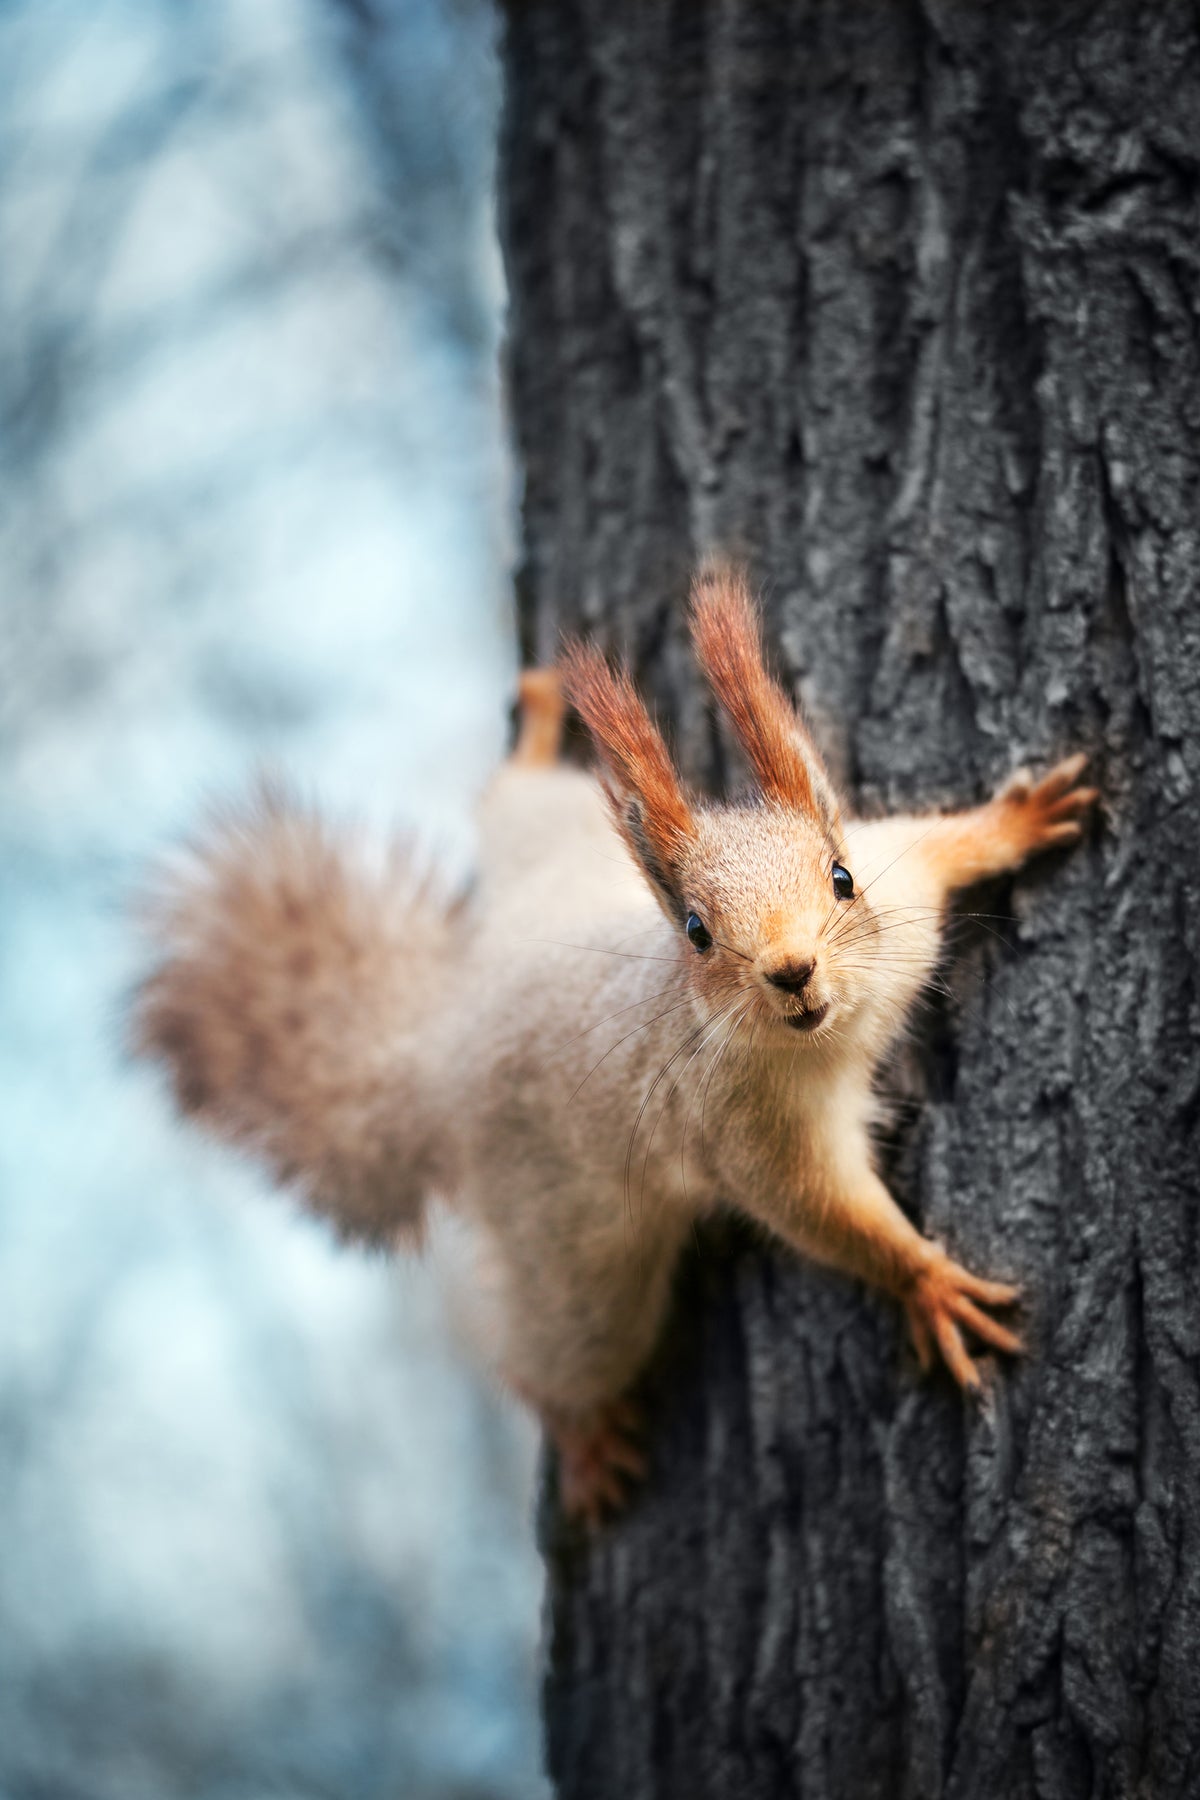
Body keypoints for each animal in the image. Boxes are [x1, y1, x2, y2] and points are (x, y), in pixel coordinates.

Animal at [133, 567, 1097, 1525]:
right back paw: (583, 1438)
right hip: (576, 1264)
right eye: (697, 932)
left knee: (509, 800)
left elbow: (944, 846)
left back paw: (534, 728)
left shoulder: (906, 896)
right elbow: (824, 1213)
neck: (835, 1032)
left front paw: (1018, 820)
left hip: (544, 841)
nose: (792, 970)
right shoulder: (748, 1134)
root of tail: (441, 1055)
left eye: (841, 878)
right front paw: (926, 1283)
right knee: (553, 1358)